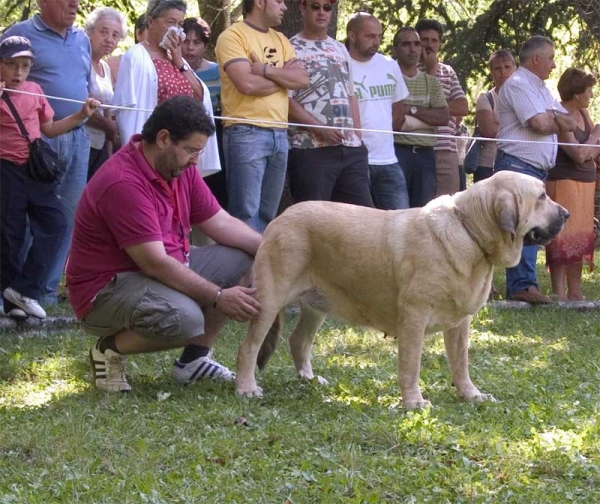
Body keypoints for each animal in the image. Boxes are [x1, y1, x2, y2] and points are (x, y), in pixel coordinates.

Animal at [237, 171, 568, 408]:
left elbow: (461, 364)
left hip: (317, 306)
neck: (469, 229)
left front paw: (471, 395)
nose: (566, 213)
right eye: (541, 196)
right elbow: (411, 365)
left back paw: (308, 379)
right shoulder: (414, 318)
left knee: (298, 341)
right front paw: (413, 402)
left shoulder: (459, 324)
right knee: (249, 346)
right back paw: (246, 387)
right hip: (269, 300)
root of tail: (280, 218)